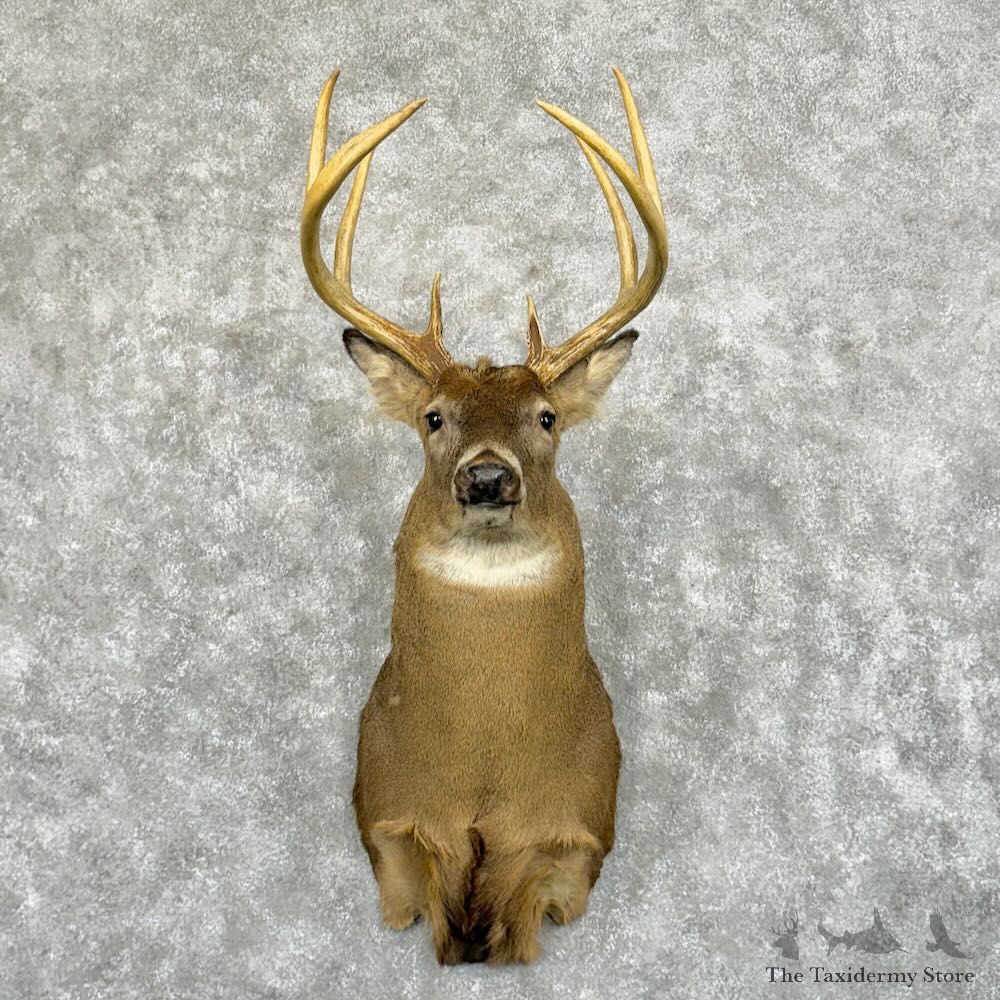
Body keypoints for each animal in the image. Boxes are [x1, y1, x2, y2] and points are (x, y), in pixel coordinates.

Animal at [300, 67, 668, 965]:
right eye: (434, 416)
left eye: (547, 417)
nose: (489, 478)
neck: (482, 771)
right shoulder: (386, 809)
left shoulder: (579, 828)